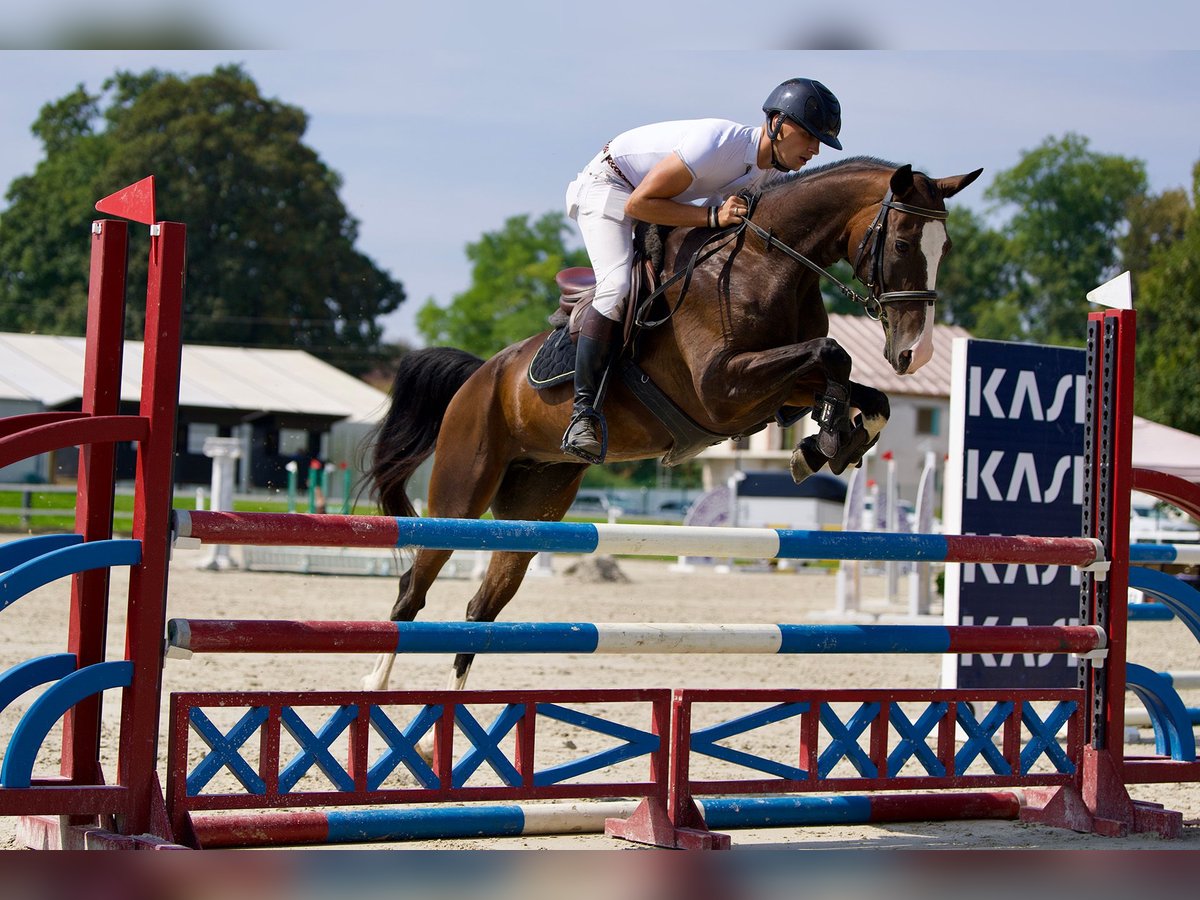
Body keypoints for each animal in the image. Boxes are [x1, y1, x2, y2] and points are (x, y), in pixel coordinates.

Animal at [360, 157, 979, 691]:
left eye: (946, 247)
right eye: (903, 243)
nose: (914, 354)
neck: (766, 263)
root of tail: (480, 374)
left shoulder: (772, 389)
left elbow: (861, 388)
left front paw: (830, 442)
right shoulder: (721, 389)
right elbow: (834, 354)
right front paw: (826, 438)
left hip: (533, 507)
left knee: (481, 608)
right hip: (461, 492)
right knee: (413, 589)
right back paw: (378, 686)